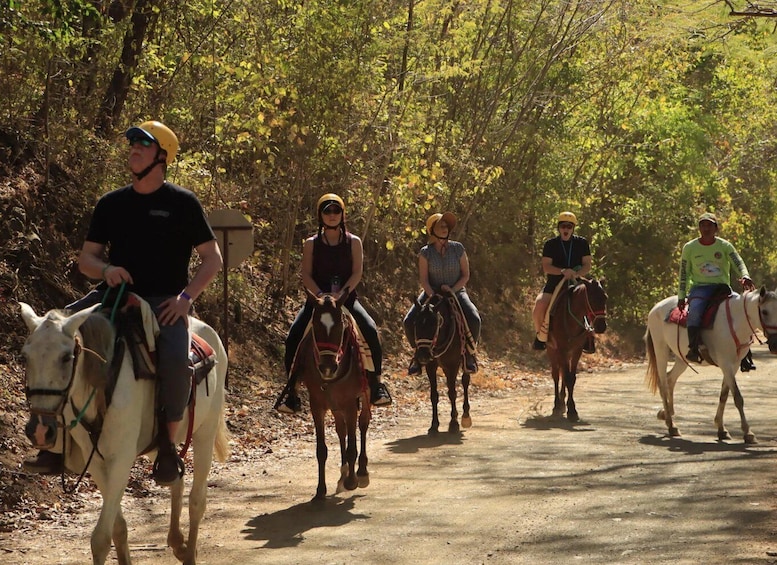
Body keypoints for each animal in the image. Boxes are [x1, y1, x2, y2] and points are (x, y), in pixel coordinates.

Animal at [19, 304, 229, 564]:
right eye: (25, 356)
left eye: (67, 357)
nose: (39, 430)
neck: (104, 386)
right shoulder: (96, 462)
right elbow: (117, 528)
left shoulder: (120, 460)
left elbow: (100, 539)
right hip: (157, 445)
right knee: (175, 478)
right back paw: (177, 541)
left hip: (205, 434)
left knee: (197, 501)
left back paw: (188, 552)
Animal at [296, 288, 372, 500]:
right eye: (316, 325)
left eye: (340, 326)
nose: (327, 367)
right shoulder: (317, 405)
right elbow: (321, 450)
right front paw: (320, 492)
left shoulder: (349, 403)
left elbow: (353, 445)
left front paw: (352, 481)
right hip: (335, 406)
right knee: (341, 430)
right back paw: (343, 474)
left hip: (364, 395)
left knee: (363, 424)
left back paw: (361, 472)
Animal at [412, 294, 472, 434]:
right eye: (415, 323)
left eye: (434, 324)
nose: (423, 355)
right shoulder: (431, 366)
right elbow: (434, 395)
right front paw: (434, 425)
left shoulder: (453, 365)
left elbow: (452, 393)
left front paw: (454, 423)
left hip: (463, 363)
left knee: (465, 381)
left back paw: (466, 415)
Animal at [544, 278, 608, 418]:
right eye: (592, 298)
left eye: (605, 297)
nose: (602, 326)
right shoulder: (561, 349)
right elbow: (566, 377)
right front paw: (571, 410)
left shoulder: (576, 350)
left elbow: (571, 378)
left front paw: (571, 408)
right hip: (552, 350)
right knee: (556, 375)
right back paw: (557, 405)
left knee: (563, 373)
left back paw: (562, 402)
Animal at [644, 288, 777, 442]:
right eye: (765, 312)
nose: (775, 345)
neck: (736, 322)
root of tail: (655, 308)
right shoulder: (725, 363)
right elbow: (737, 397)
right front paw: (748, 432)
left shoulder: (734, 365)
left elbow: (724, 395)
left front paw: (721, 429)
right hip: (661, 350)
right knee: (663, 384)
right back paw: (671, 426)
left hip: (681, 358)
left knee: (670, 379)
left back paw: (667, 415)